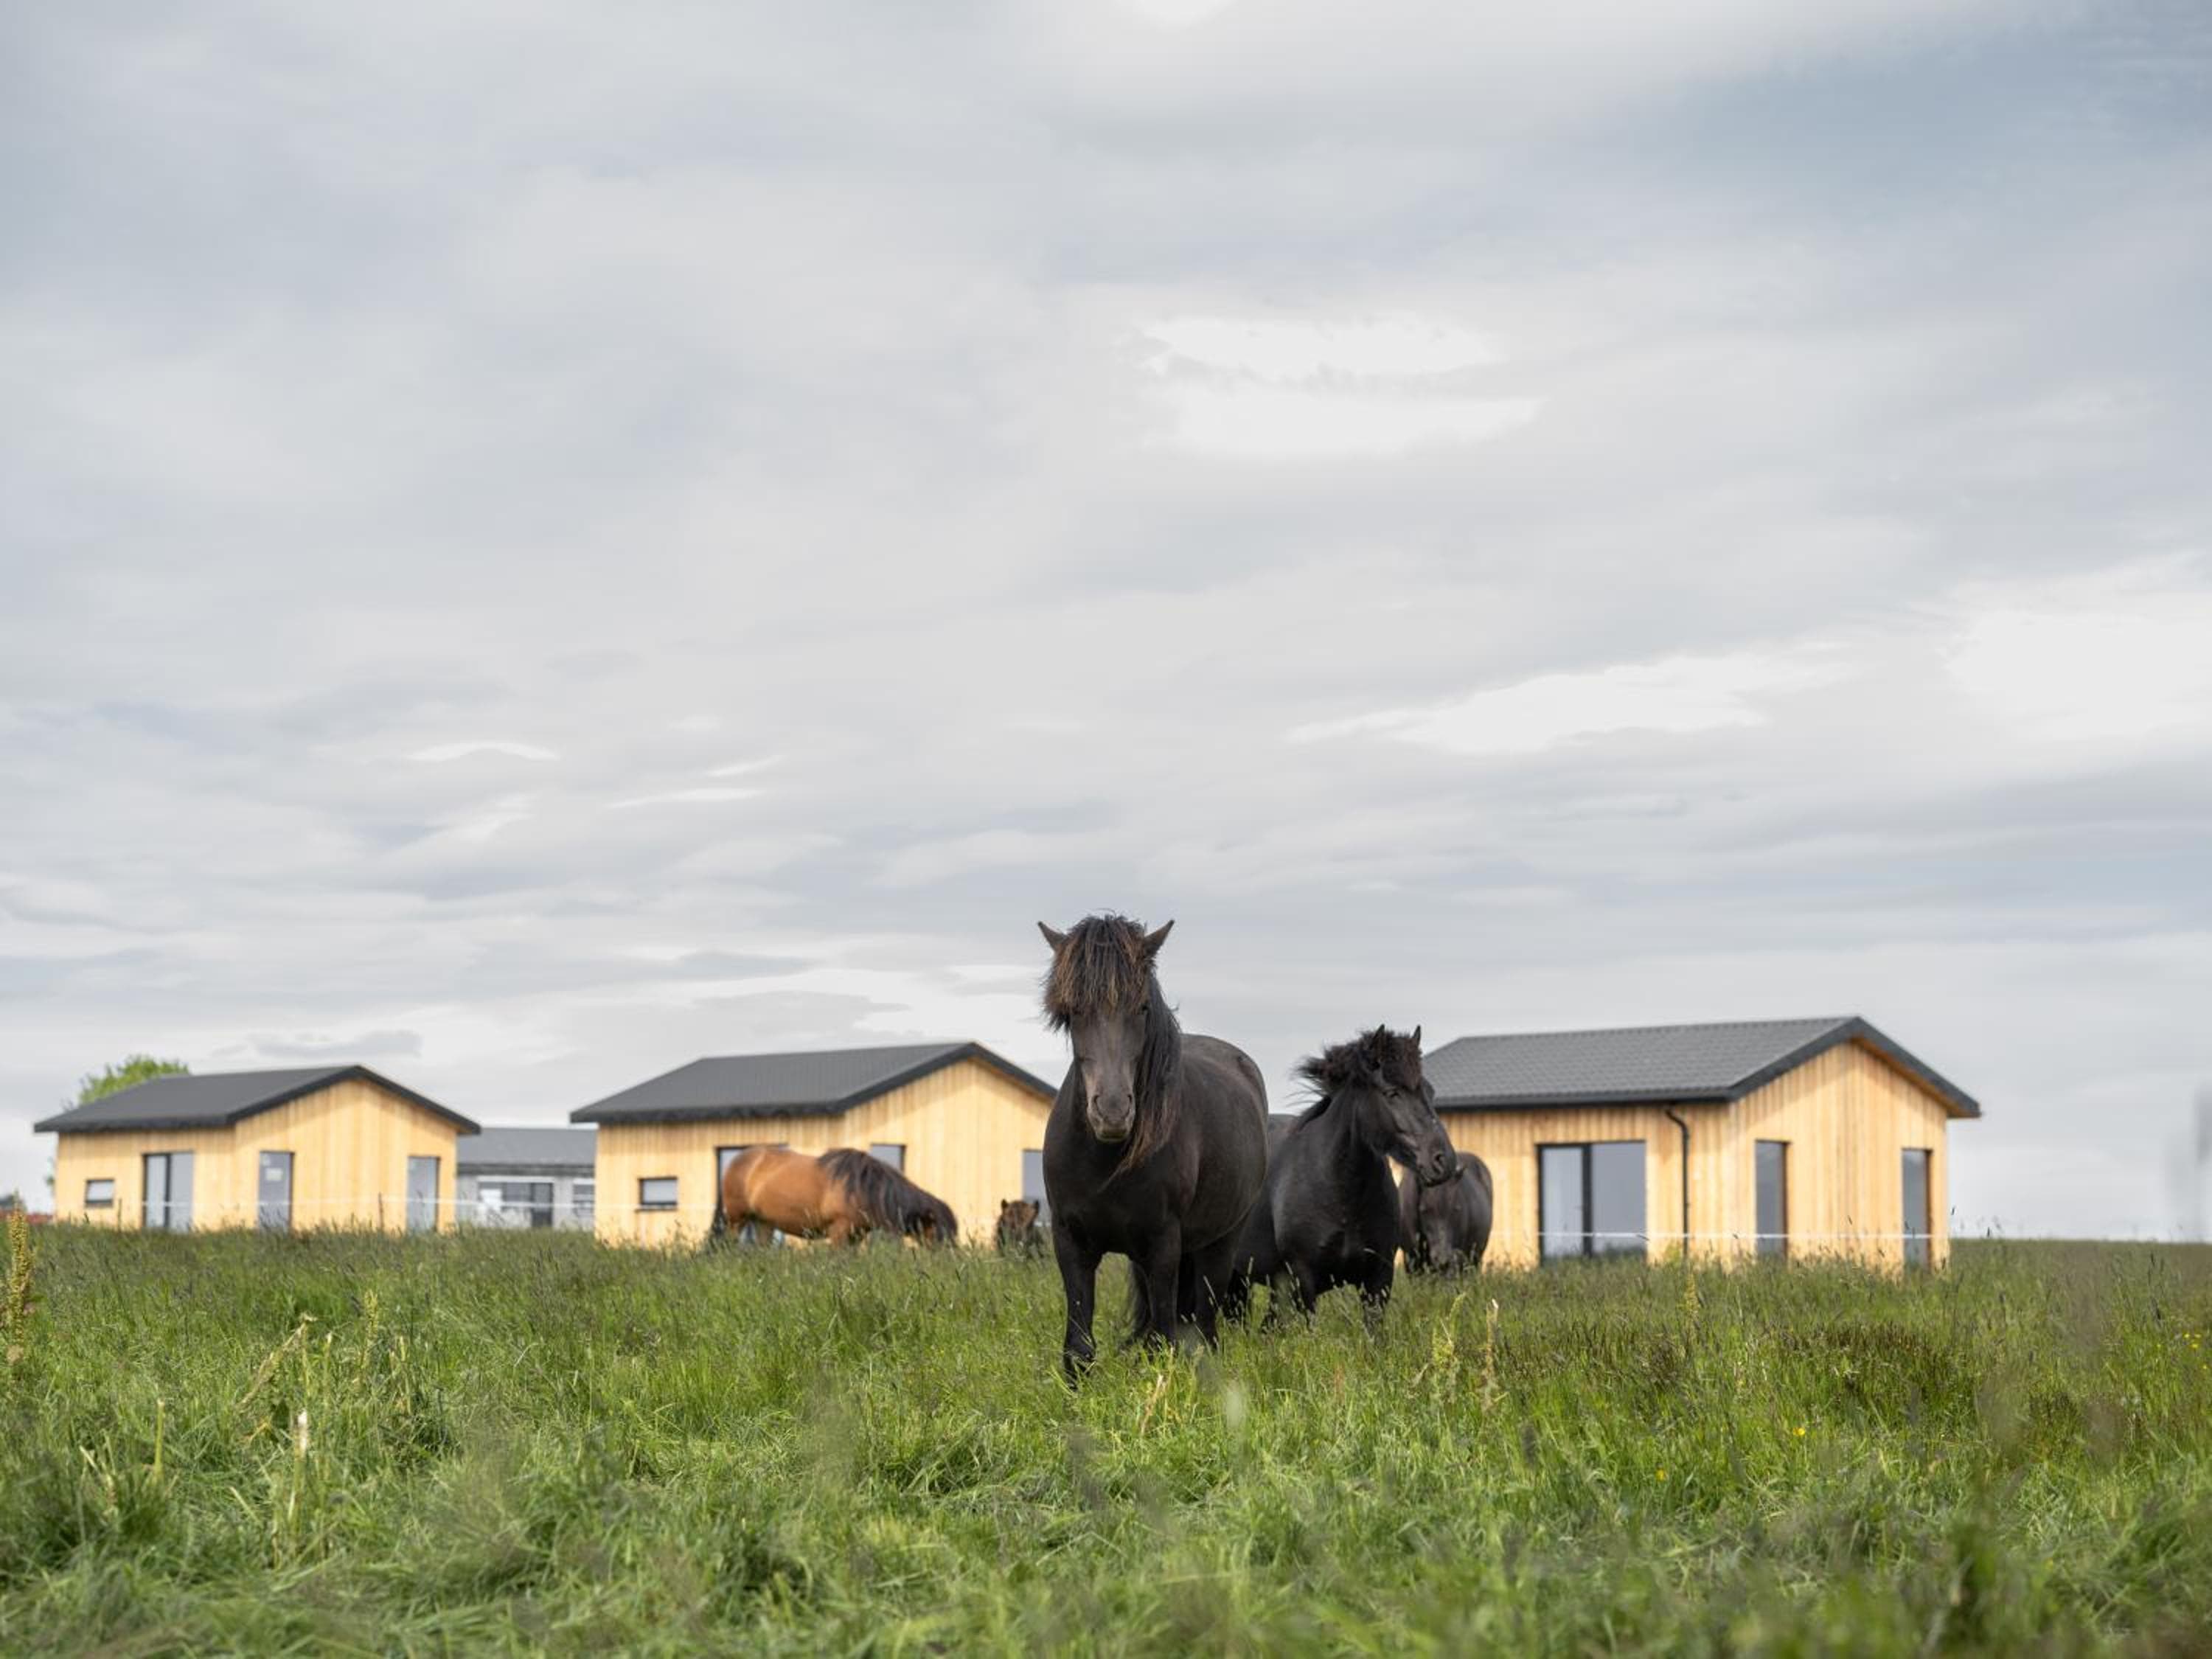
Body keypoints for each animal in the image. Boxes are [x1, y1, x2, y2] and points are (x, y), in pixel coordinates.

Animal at [714, 1146, 957, 1247]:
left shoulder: (856, 1236)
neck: (863, 1188)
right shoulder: (839, 1231)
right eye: (939, 1234)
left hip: (764, 1222)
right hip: (738, 1219)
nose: (950, 1261)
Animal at [1038, 914, 1269, 1379]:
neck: (1104, 1162)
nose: (1112, 1111)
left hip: (1220, 1243)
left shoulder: (1163, 1247)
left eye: (1142, 1008)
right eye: (1073, 1012)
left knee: (1205, 1326)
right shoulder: (1071, 1245)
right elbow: (1079, 1349)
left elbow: (1166, 1340)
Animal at [1223, 1025, 1457, 1326]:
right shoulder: (1303, 1282)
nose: (1444, 1161)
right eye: (1392, 1093)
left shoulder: (1378, 1280)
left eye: (1430, 1091)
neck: (1341, 1191)